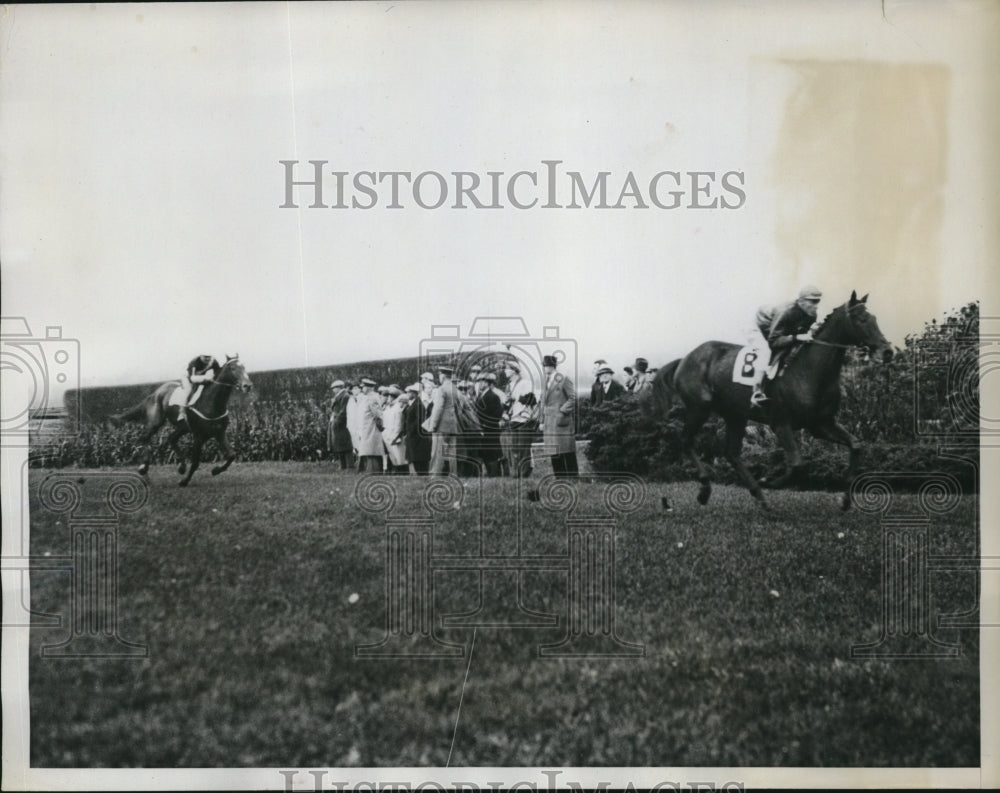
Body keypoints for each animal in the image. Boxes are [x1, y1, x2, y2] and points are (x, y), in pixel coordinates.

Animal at [110, 356, 254, 486]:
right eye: (233, 368)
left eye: (244, 367)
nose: (247, 385)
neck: (212, 403)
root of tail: (155, 392)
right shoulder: (198, 436)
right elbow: (195, 462)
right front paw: (184, 481)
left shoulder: (219, 433)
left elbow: (231, 455)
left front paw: (215, 470)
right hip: (156, 423)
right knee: (143, 439)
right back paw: (143, 468)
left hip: (183, 427)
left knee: (171, 438)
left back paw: (181, 466)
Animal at [652, 290, 896, 508]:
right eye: (862, 319)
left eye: (874, 318)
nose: (887, 352)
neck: (809, 371)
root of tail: (685, 358)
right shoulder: (780, 423)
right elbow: (797, 463)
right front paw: (769, 480)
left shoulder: (821, 424)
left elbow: (856, 446)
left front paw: (846, 498)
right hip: (699, 407)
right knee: (686, 441)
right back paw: (705, 490)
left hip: (735, 415)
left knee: (731, 453)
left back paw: (759, 496)